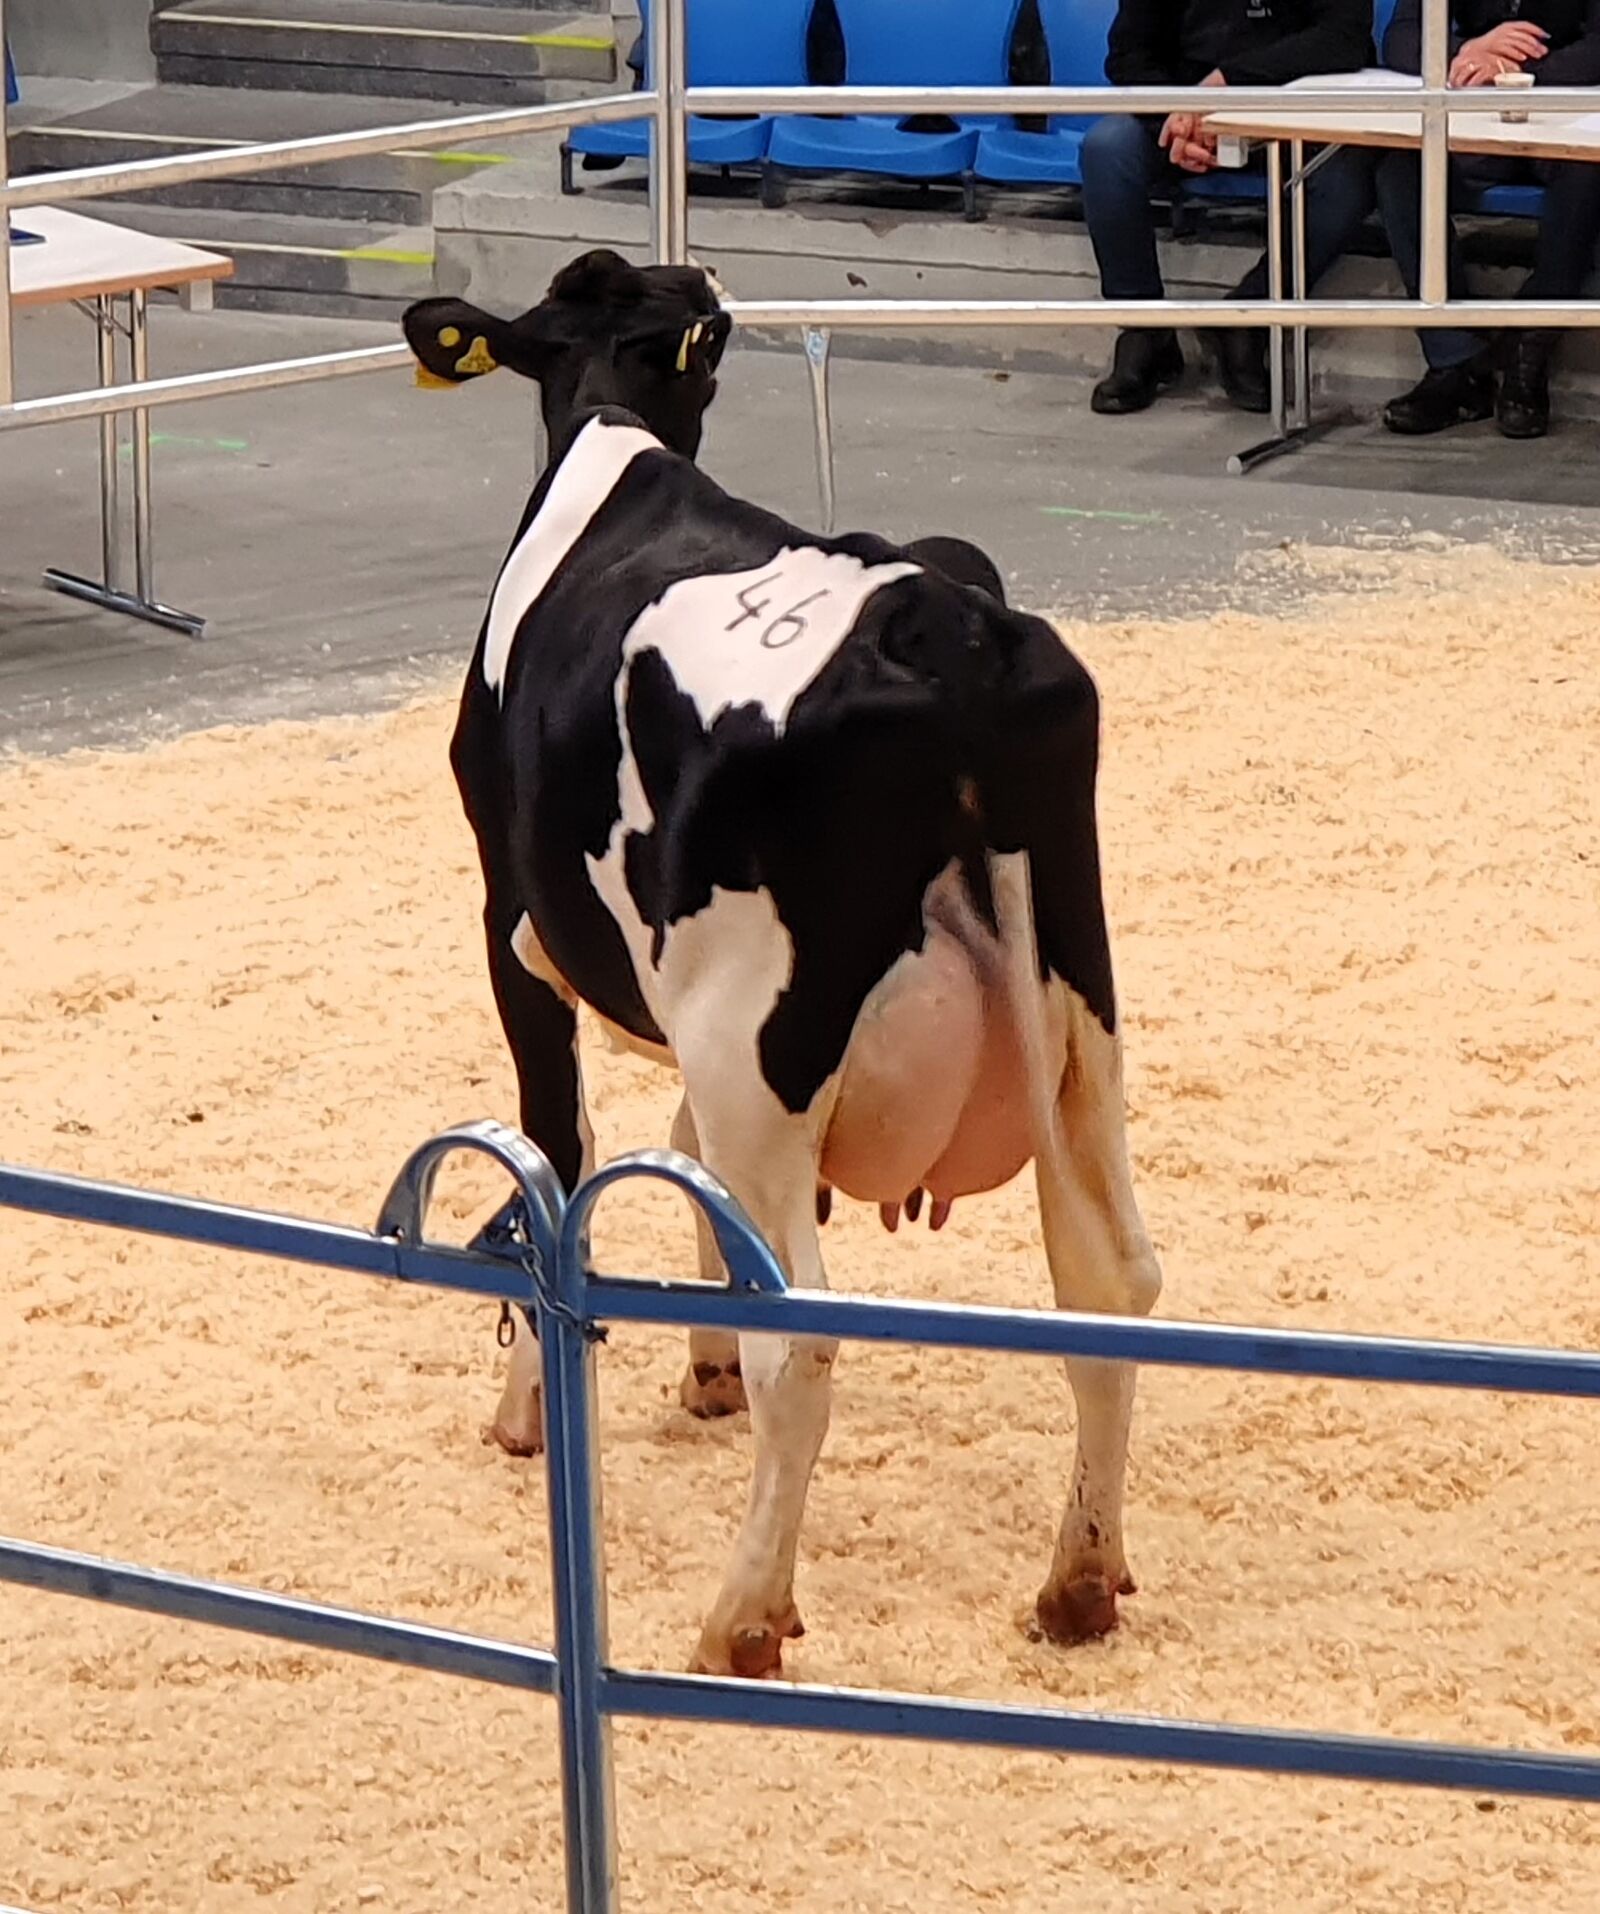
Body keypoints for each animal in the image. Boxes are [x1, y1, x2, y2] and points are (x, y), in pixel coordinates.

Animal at [405, 250, 1155, 1676]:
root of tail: (942, 630)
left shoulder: (509, 922)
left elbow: (559, 1156)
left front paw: (529, 1407)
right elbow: (673, 1158)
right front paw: (692, 1365)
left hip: (757, 1037)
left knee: (801, 1341)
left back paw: (743, 1620)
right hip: (1079, 1020)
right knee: (1109, 1281)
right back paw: (1077, 1584)